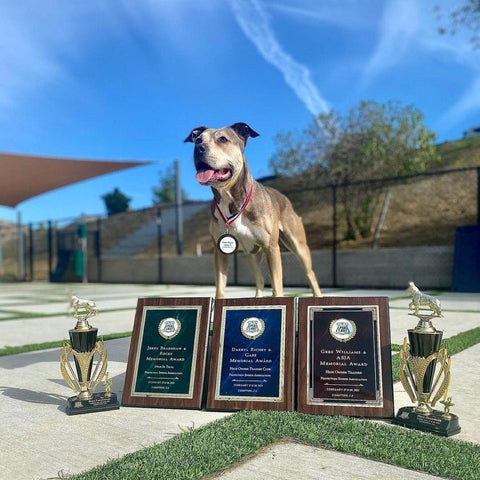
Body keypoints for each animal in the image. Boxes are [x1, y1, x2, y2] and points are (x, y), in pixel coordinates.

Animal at [186, 122, 320, 298]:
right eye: (197, 140)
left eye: (223, 139)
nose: (199, 148)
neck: (232, 200)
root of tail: (284, 197)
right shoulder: (220, 252)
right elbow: (220, 288)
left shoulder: (271, 248)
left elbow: (277, 286)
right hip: (252, 254)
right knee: (260, 278)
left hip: (298, 245)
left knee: (310, 274)